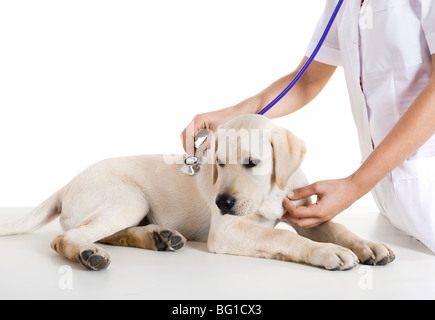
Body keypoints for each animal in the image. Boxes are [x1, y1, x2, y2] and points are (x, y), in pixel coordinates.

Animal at [0, 115, 396, 270]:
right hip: (129, 197)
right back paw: (90, 255)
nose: (222, 202)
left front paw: (369, 246)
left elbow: (337, 226)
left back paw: (159, 237)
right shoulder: (227, 230)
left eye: (251, 163)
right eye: (218, 163)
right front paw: (330, 252)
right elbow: (287, 239)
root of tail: (65, 184)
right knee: (68, 237)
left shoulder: (302, 210)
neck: (267, 194)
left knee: (108, 232)